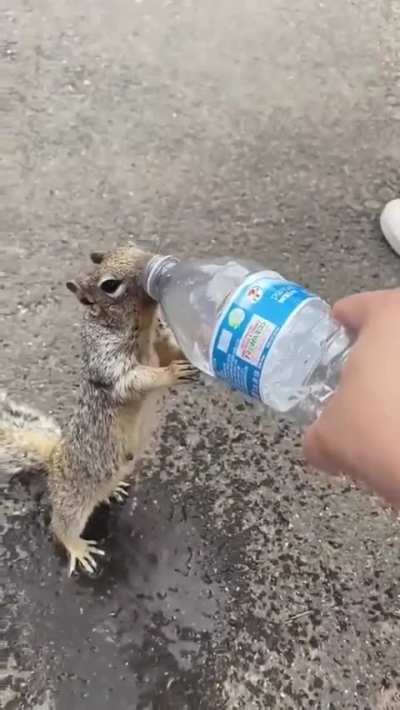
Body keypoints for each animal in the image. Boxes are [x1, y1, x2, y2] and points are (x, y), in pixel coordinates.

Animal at [0, 245, 198, 575]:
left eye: (132, 246)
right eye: (110, 285)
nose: (151, 261)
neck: (142, 328)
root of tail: (54, 459)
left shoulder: (159, 341)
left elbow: (170, 350)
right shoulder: (109, 364)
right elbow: (136, 380)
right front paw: (171, 374)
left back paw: (113, 491)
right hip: (73, 497)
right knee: (61, 526)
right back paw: (78, 548)